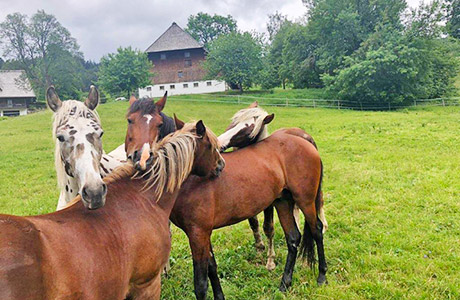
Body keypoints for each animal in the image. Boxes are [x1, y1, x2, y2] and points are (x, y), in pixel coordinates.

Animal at [126, 115, 328, 300]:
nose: (137, 158)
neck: (189, 180)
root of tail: (303, 140)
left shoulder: (198, 234)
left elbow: (201, 283)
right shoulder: (202, 233)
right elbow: (212, 267)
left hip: (305, 201)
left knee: (317, 230)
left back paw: (322, 276)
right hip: (283, 202)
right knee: (293, 238)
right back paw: (285, 283)